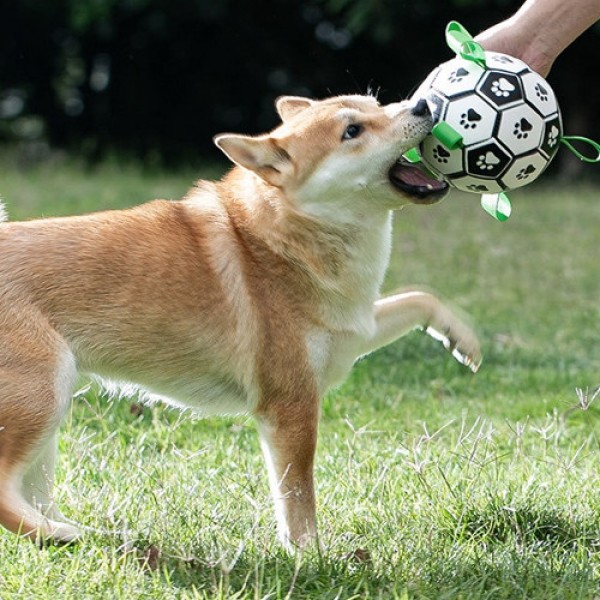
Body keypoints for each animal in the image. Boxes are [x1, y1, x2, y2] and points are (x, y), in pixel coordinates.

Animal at [0, 95, 480, 552]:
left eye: (376, 104)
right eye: (352, 131)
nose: (424, 104)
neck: (282, 241)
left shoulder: (354, 331)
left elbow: (420, 297)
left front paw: (461, 338)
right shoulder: (291, 407)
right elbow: (298, 496)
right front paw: (310, 554)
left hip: (51, 416)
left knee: (32, 495)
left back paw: (72, 532)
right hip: (45, 395)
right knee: (7, 494)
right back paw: (59, 534)